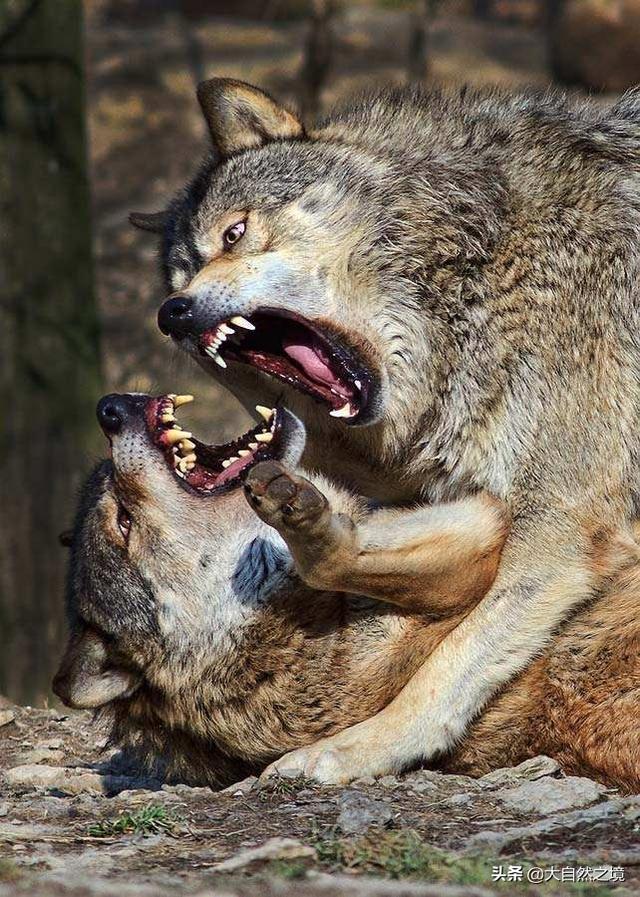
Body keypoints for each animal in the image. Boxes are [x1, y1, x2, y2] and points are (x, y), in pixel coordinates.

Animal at [131, 80, 640, 780]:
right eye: (178, 279)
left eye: (234, 233)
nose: (172, 315)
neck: (482, 272)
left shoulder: (564, 525)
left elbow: (448, 665)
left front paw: (350, 750)